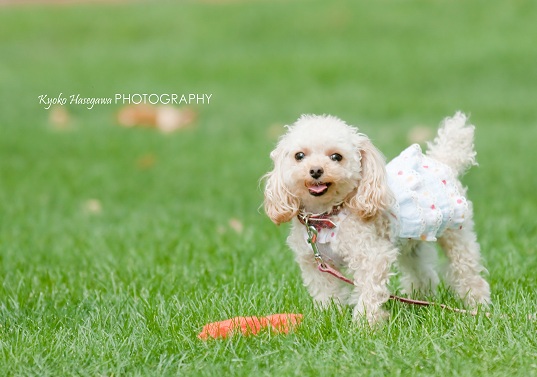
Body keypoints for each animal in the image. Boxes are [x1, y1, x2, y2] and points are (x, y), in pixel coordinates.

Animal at [262, 111, 488, 324]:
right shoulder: (316, 264)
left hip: (457, 234)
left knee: (467, 271)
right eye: (299, 155)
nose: (316, 170)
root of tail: (442, 161)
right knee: (423, 273)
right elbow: (326, 293)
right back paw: (419, 300)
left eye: (336, 157)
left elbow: (369, 291)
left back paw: (478, 305)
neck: (327, 216)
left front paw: (365, 323)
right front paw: (329, 316)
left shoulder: (372, 256)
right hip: (412, 246)